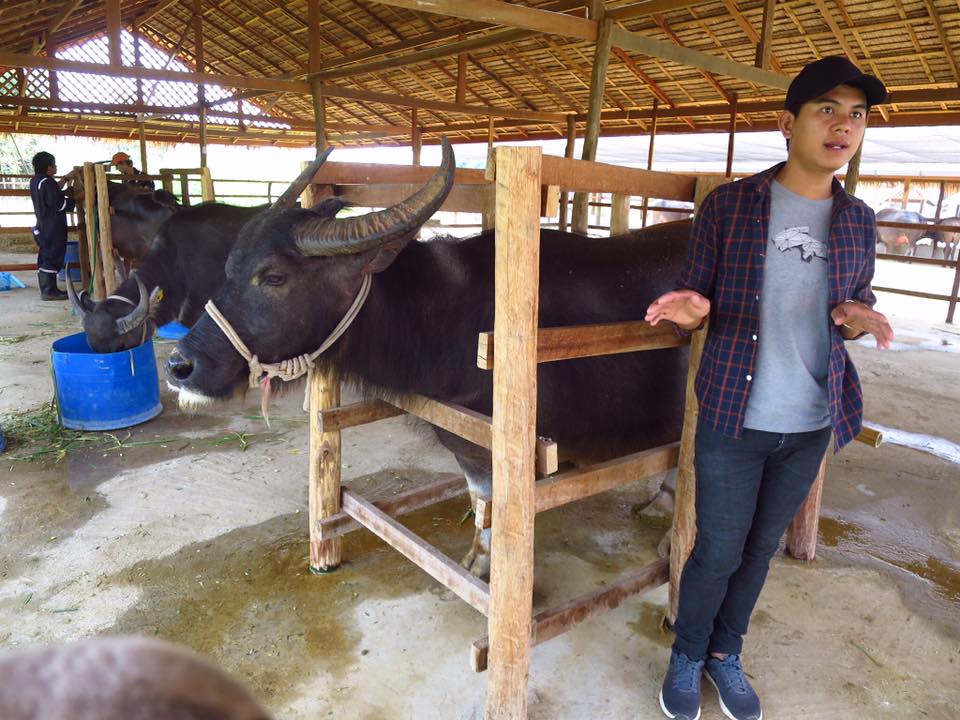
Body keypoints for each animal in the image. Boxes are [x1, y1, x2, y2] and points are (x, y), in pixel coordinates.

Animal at [167, 142, 688, 580]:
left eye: (273, 276)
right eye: (230, 268)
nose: (179, 366)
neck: (446, 313)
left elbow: (489, 502)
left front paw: (484, 565)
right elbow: (479, 497)